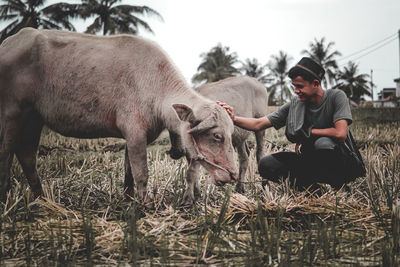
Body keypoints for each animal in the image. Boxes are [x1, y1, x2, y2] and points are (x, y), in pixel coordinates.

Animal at [0, 28, 238, 206]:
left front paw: (129, 199)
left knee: (27, 155)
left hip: (33, 118)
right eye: (217, 136)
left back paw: (43, 200)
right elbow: (141, 172)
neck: (156, 87)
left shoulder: (134, 138)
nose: (234, 175)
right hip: (13, 114)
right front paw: (147, 205)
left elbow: (128, 171)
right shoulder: (135, 134)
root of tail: (8, 43)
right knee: (6, 152)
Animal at [167, 76, 268, 206]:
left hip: (260, 126)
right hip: (240, 137)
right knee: (244, 156)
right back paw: (240, 187)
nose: (175, 153)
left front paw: (188, 198)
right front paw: (197, 193)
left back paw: (263, 185)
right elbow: (195, 172)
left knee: (259, 154)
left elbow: (190, 172)